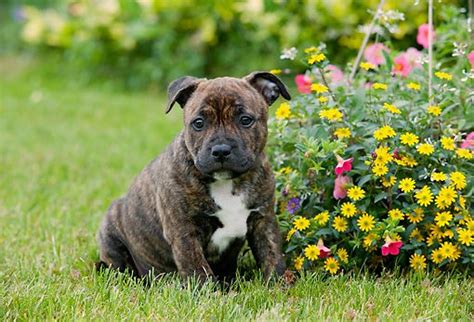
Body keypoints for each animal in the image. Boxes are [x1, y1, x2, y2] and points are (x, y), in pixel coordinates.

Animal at [97, 71, 290, 284]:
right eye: (198, 123)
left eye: (246, 120)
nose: (221, 150)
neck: (226, 182)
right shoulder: (184, 232)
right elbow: (197, 268)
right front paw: (208, 291)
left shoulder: (264, 221)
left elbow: (272, 256)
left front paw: (279, 285)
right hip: (110, 231)